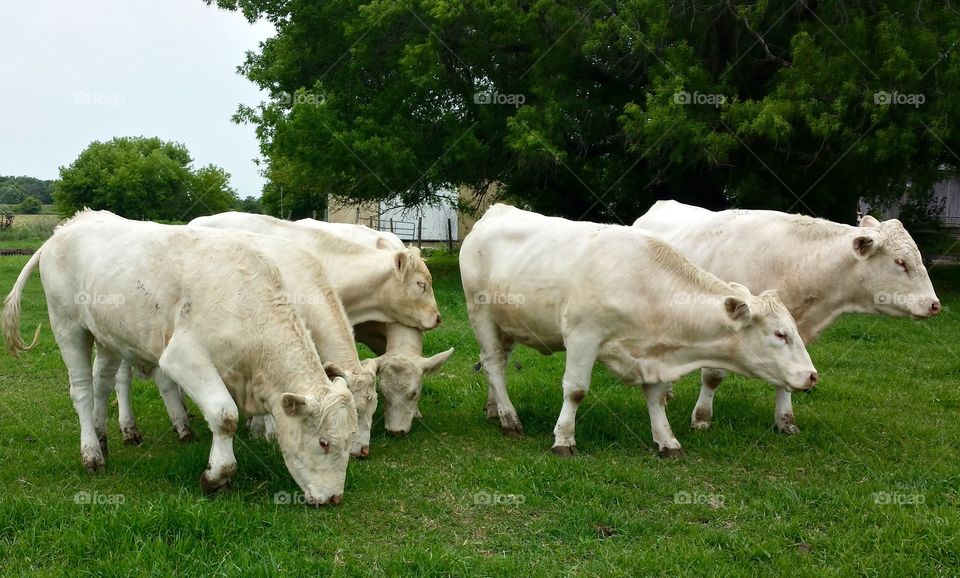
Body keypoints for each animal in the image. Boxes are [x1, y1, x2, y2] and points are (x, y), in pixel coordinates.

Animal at [3, 210, 356, 504]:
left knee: (101, 383)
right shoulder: (183, 356)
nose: (334, 498)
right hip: (67, 326)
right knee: (81, 390)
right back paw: (92, 454)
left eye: (350, 438)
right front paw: (217, 476)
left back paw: (103, 436)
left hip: (107, 334)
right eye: (323, 442)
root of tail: (69, 225)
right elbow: (225, 416)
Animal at [464, 202, 816, 454]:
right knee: (494, 364)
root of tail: (496, 211)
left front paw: (667, 441)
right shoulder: (583, 335)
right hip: (480, 313)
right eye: (780, 334)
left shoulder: (652, 352)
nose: (812, 376)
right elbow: (576, 390)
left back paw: (494, 409)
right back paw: (510, 420)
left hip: (506, 322)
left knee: (498, 362)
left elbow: (656, 397)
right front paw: (564, 439)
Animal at [632, 200, 940, 430]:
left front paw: (785, 420)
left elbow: (790, 377)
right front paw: (702, 419)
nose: (934, 304)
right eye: (900, 262)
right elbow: (713, 377)